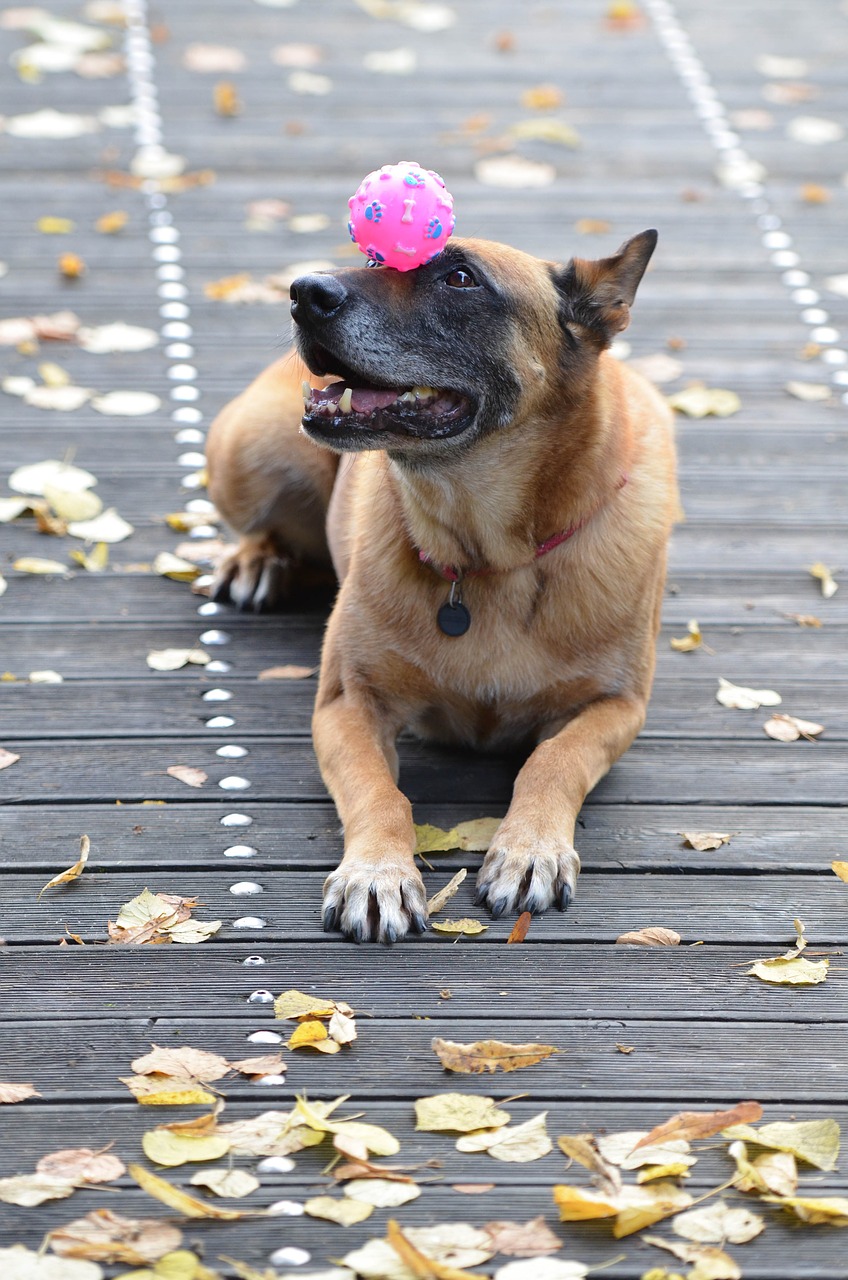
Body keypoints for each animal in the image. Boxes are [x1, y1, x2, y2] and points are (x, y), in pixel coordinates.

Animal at [204, 235, 676, 947]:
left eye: (460, 278)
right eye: (375, 260)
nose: (304, 291)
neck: (490, 557)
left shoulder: (616, 707)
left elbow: (554, 760)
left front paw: (530, 847)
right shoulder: (348, 704)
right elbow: (381, 794)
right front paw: (376, 873)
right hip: (251, 449)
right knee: (268, 524)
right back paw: (257, 559)